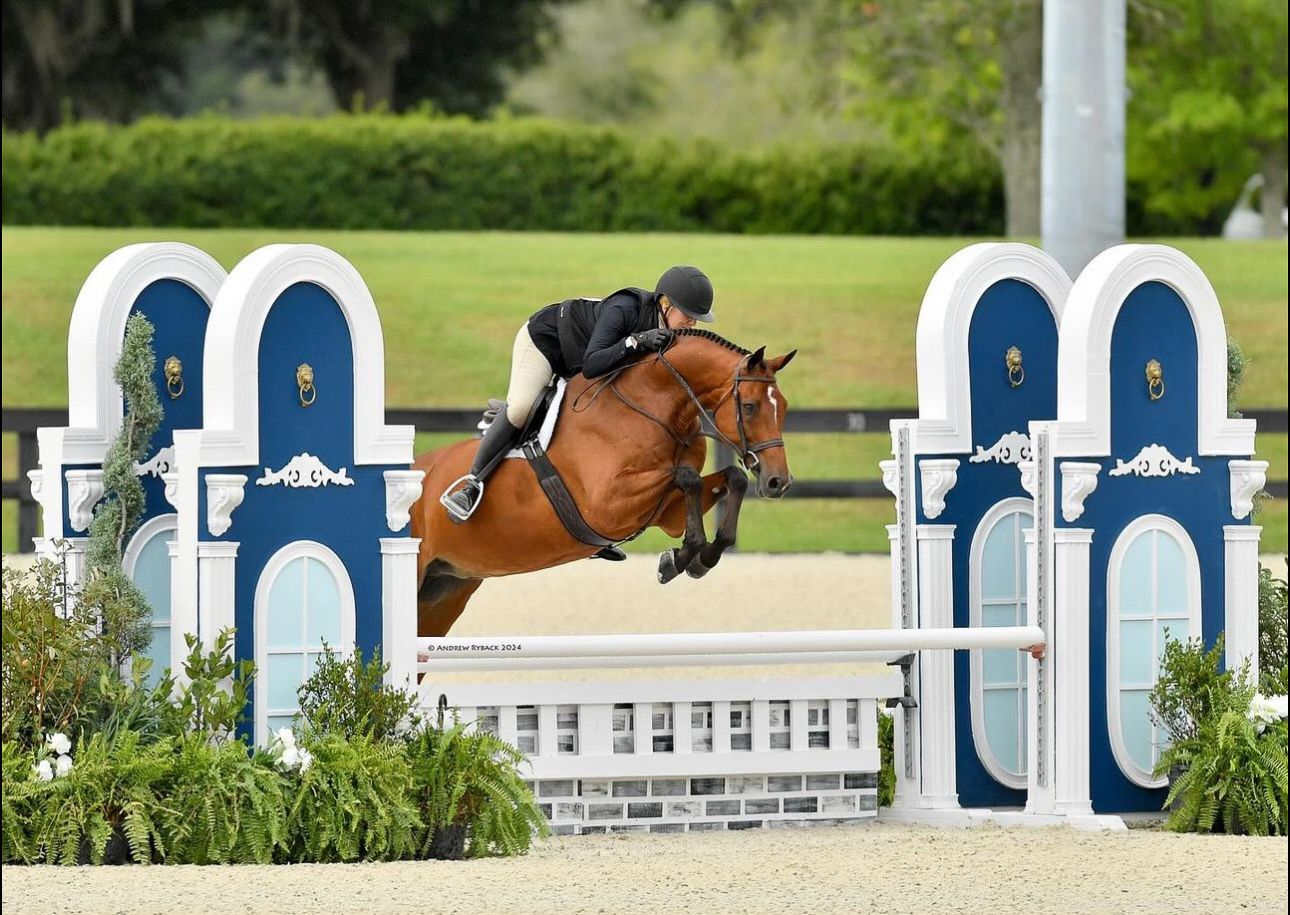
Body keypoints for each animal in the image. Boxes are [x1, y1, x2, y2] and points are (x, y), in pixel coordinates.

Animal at [409, 328, 797, 637]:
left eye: (783, 408)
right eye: (749, 407)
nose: (777, 481)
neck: (652, 405)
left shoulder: (666, 512)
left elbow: (730, 479)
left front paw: (695, 558)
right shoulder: (607, 505)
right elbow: (687, 478)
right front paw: (683, 556)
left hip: (444, 591)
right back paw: (464, 496)